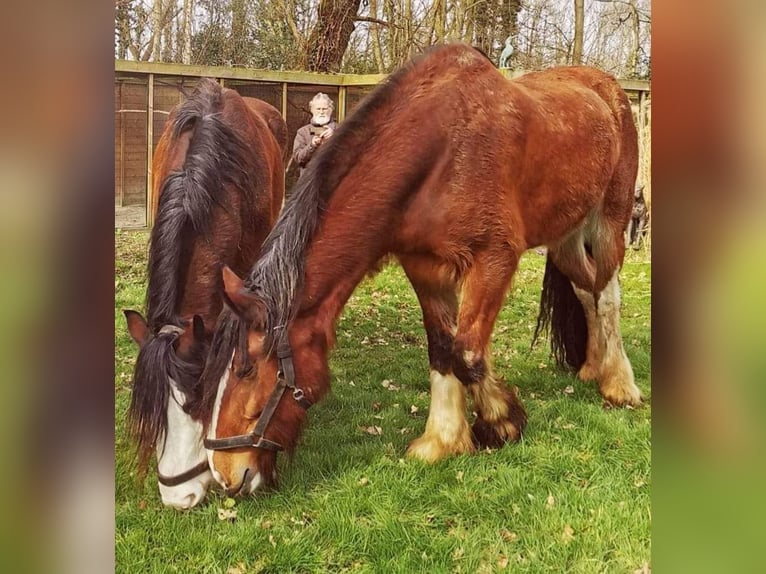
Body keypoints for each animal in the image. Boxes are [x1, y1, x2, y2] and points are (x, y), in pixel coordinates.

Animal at [200, 44, 640, 500]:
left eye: (249, 372)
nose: (225, 474)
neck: (440, 150)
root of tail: (606, 88)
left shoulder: (494, 259)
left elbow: (467, 353)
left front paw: (502, 422)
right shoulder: (425, 267)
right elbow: (443, 348)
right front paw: (443, 440)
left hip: (608, 222)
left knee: (607, 295)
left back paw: (619, 384)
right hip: (567, 236)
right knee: (586, 290)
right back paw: (592, 367)